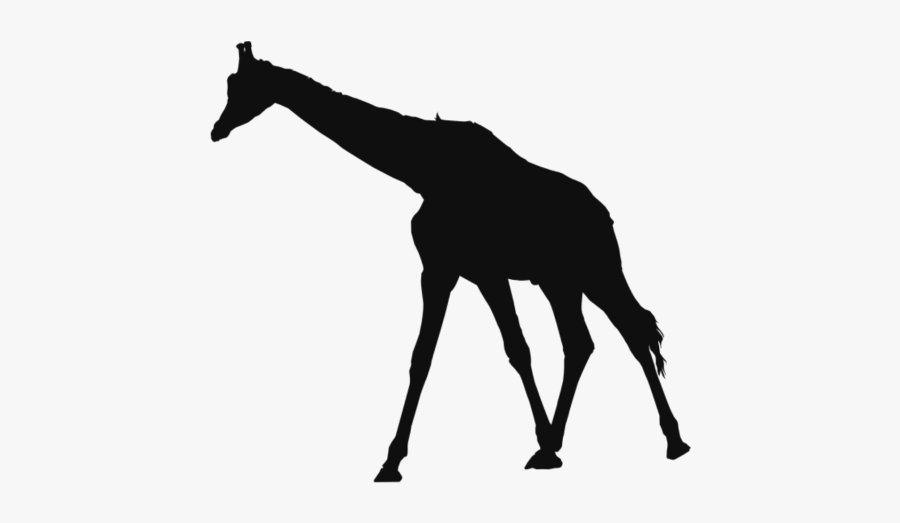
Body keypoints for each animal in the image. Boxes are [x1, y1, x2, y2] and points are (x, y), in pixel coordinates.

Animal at [211, 42, 690, 482]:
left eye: (242, 86)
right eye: (230, 84)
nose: (217, 129)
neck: (422, 170)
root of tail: (604, 214)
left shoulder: (486, 272)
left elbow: (517, 350)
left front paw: (539, 444)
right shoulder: (441, 270)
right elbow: (421, 357)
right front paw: (391, 461)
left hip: (599, 272)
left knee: (634, 334)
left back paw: (672, 441)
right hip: (560, 282)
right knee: (582, 343)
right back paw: (565, 443)